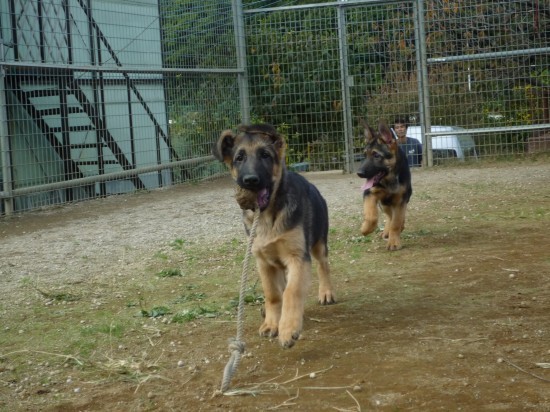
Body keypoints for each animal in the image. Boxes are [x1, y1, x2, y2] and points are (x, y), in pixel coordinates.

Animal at [215, 123, 336, 348]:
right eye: (239, 158)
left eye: (265, 155)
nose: (250, 181)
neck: (267, 217)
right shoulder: (263, 262)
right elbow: (272, 294)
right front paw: (272, 323)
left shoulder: (297, 257)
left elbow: (292, 291)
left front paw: (288, 328)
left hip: (318, 243)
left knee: (323, 265)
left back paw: (326, 293)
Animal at [358, 120, 414, 249]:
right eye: (365, 155)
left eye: (376, 155)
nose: (359, 173)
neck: (389, 180)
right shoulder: (370, 193)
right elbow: (371, 216)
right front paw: (366, 229)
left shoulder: (400, 200)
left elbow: (396, 222)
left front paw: (394, 242)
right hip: (384, 203)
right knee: (389, 216)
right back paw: (387, 231)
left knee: (397, 217)